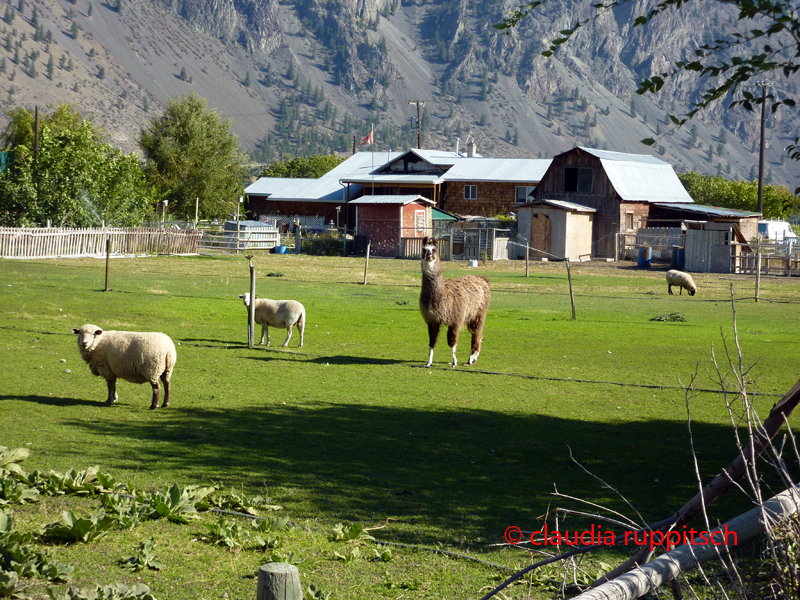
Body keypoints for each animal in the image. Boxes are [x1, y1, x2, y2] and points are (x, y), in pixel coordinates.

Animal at [422, 237, 490, 368]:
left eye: (434, 249)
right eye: (424, 249)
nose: (429, 255)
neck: (440, 296)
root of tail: (481, 279)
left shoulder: (455, 319)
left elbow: (452, 342)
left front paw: (454, 362)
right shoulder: (432, 320)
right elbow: (432, 341)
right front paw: (428, 362)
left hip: (479, 314)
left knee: (476, 334)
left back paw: (471, 359)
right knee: (478, 335)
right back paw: (473, 358)